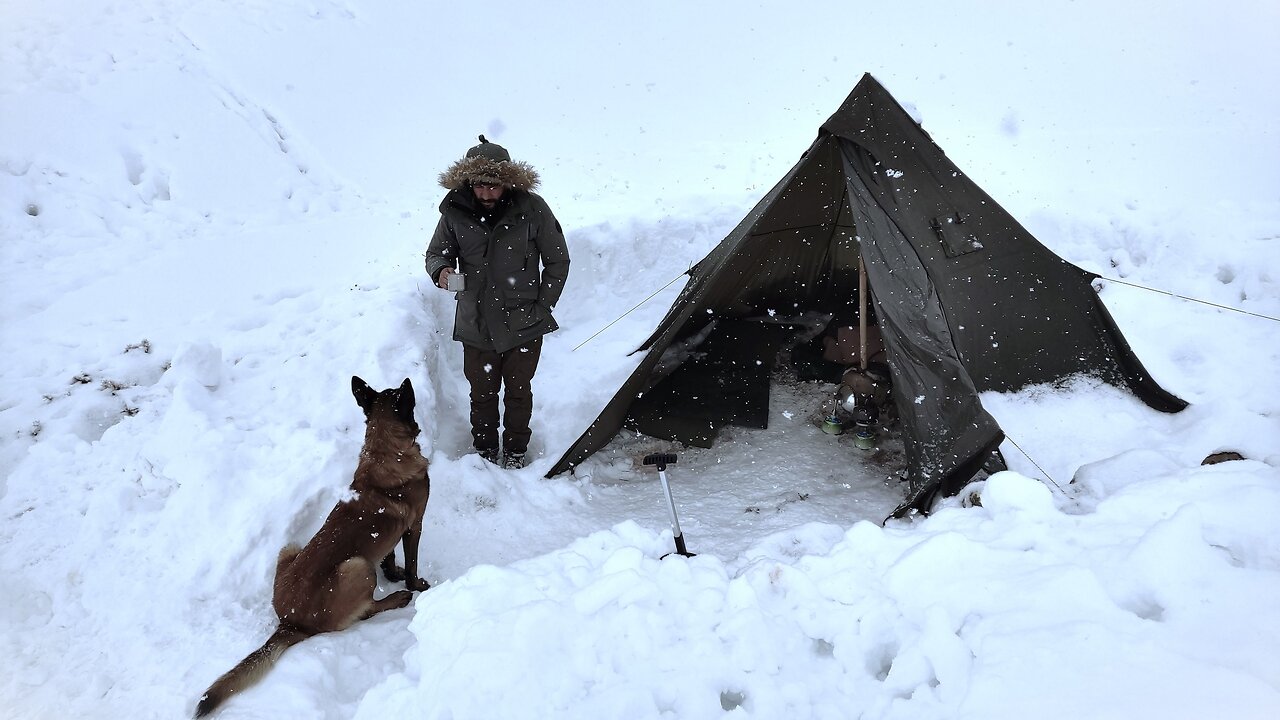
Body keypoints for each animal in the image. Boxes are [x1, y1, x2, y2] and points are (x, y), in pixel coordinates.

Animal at [194, 371, 432, 712]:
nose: (406, 380)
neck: (385, 449)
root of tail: (289, 623)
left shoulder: (392, 534)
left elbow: (389, 556)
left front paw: (393, 572)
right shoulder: (414, 526)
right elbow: (411, 564)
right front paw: (414, 584)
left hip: (291, 546)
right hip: (358, 567)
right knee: (366, 610)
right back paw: (397, 599)